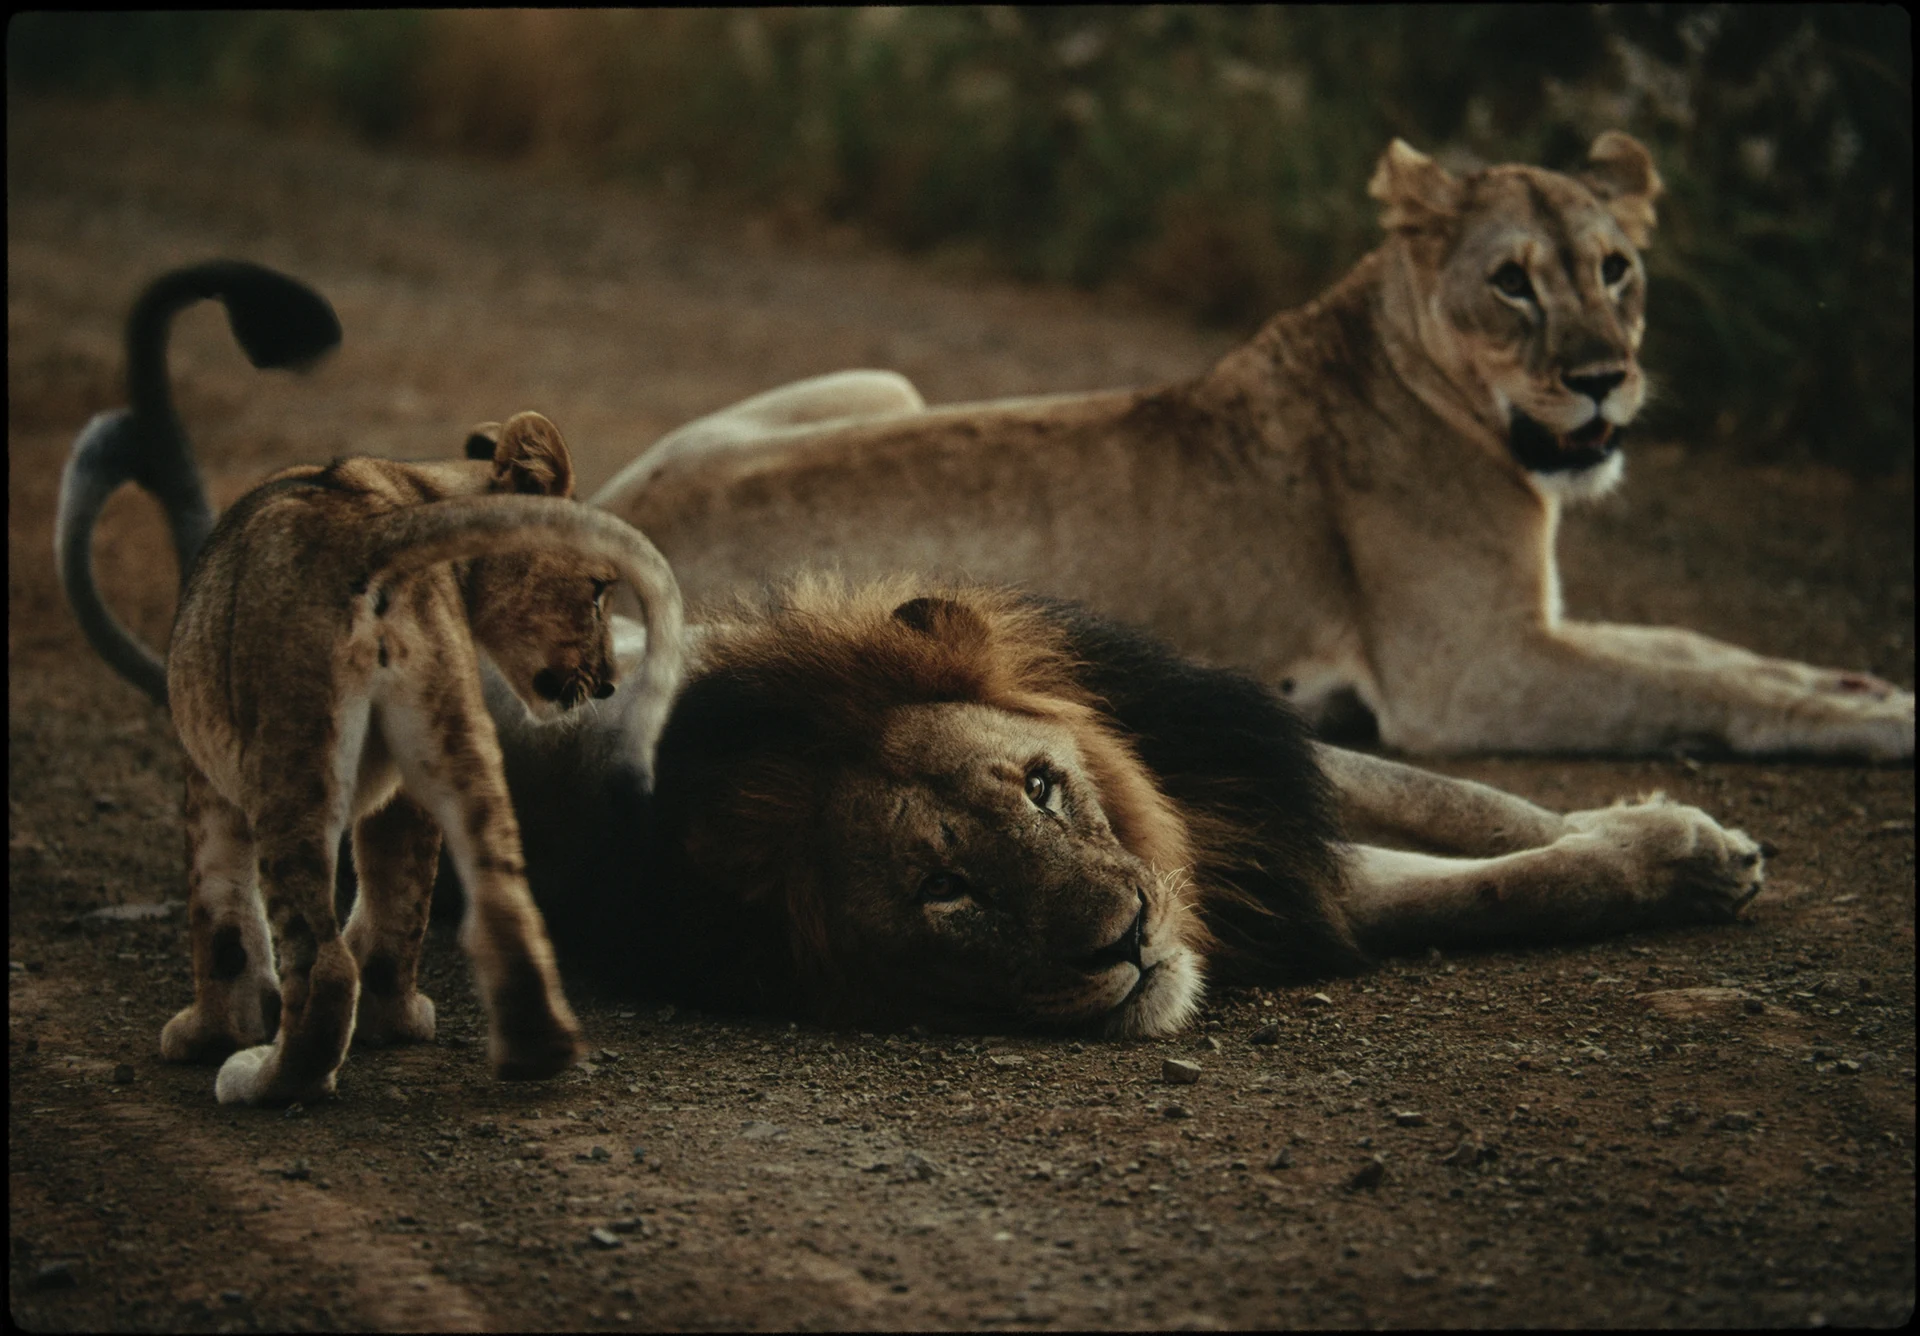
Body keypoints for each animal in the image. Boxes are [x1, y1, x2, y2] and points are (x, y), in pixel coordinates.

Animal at [595, 132, 1913, 762]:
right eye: (1512, 284)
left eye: (1616, 269)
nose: (1602, 380)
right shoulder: (1465, 674)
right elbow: (1687, 684)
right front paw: (1877, 722)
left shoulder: (1530, 620)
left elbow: (1693, 644)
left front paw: (1856, 680)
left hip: (884, 382)